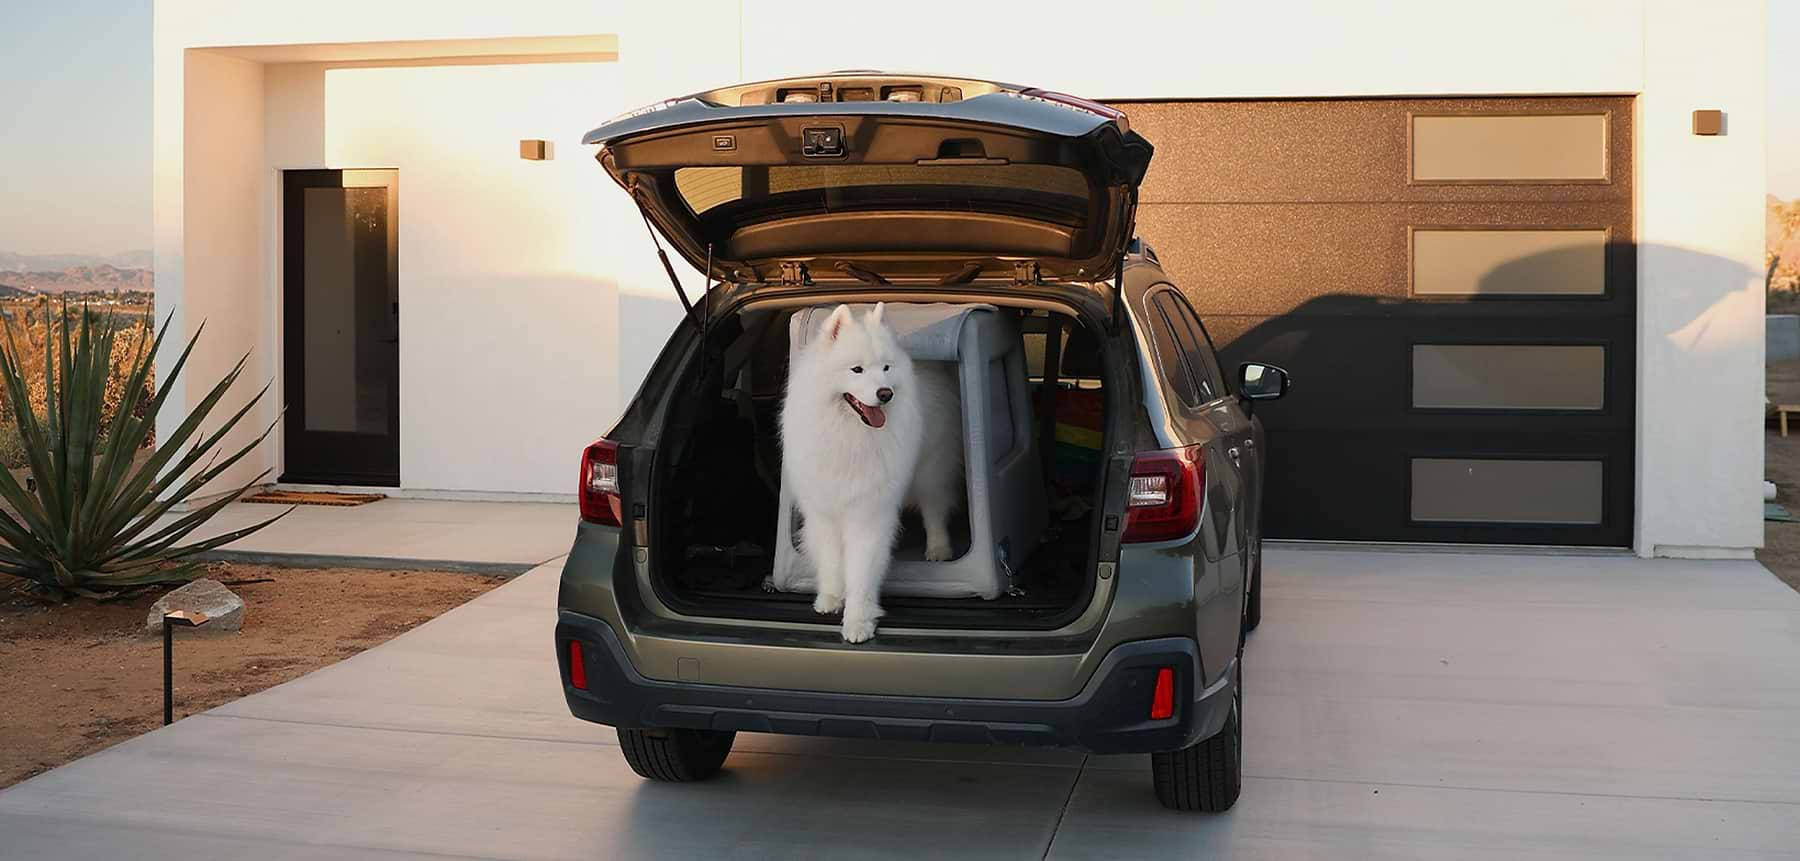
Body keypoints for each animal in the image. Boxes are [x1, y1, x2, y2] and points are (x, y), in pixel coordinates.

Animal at [781, 302, 964, 637]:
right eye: (857, 370)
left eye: (886, 368)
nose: (885, 393)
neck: (849, 436)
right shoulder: (824, 511)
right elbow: (830, 561)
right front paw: (830, 597)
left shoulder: (867, 515)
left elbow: (860, 573)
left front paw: (857, 622)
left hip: (931, 469)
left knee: (935, 509)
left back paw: (938, 548)